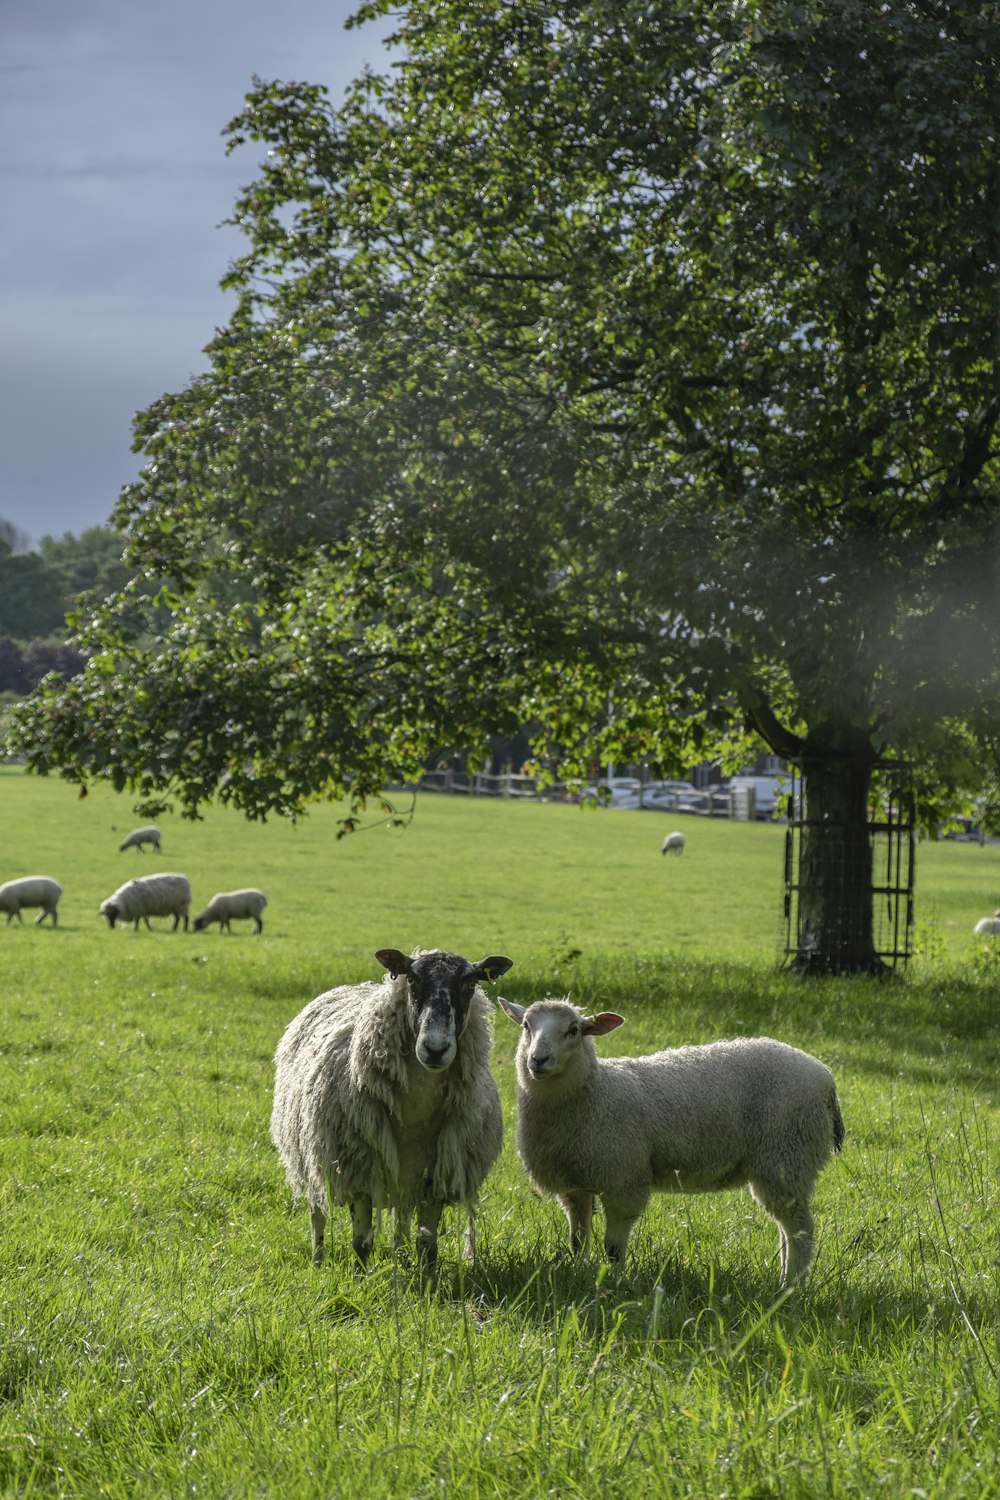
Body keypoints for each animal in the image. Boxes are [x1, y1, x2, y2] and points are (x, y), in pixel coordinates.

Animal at [269, 948, 512, 1266]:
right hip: (313, 1154)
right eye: (413, 982)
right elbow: (361, 1243)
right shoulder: (358, 1171)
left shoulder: (438, 1176)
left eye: (471, 985)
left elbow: (427, 1246)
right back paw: (318, 1259)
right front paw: (359, 1277)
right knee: (317, 1210)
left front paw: (426, 1276)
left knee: (401, 1217)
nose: (435, 1049)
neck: (416, 1112)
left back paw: (401, 1253)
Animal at [500, 996, 845, 1290]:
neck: (594, 1092)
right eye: (527, 1025)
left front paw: (614, 1280)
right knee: (786, 1228)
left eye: (573, 1029)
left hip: (787, 1155)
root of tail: (826, 1077)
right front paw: (580, 1272)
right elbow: (578, 1241)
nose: (538, 1060)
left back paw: (791, 1287)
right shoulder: (574, 1184)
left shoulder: (624, 1181)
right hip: (781, 1166)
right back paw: (784, 1281)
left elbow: (613, 1247)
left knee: (801, 1231)